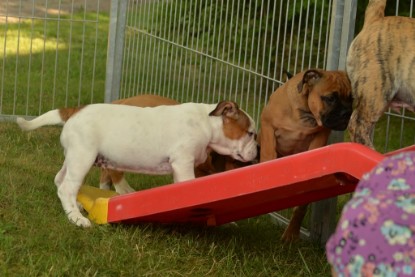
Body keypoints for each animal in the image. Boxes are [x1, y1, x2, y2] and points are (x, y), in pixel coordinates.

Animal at [102, 94, 255, 193]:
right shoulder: (185, 163)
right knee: (114, 171)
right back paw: (124, 190)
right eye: (250, 133)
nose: (257, 150)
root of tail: (120, 102)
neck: (208, 124)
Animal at [260, 68, 354, 240]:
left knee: (300, 206)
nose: (347, 112)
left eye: (351, 99)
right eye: (331, 98)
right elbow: (269, 151)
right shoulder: (268, 123)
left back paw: (291, 233)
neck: (305, 112)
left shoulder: (321, 134)